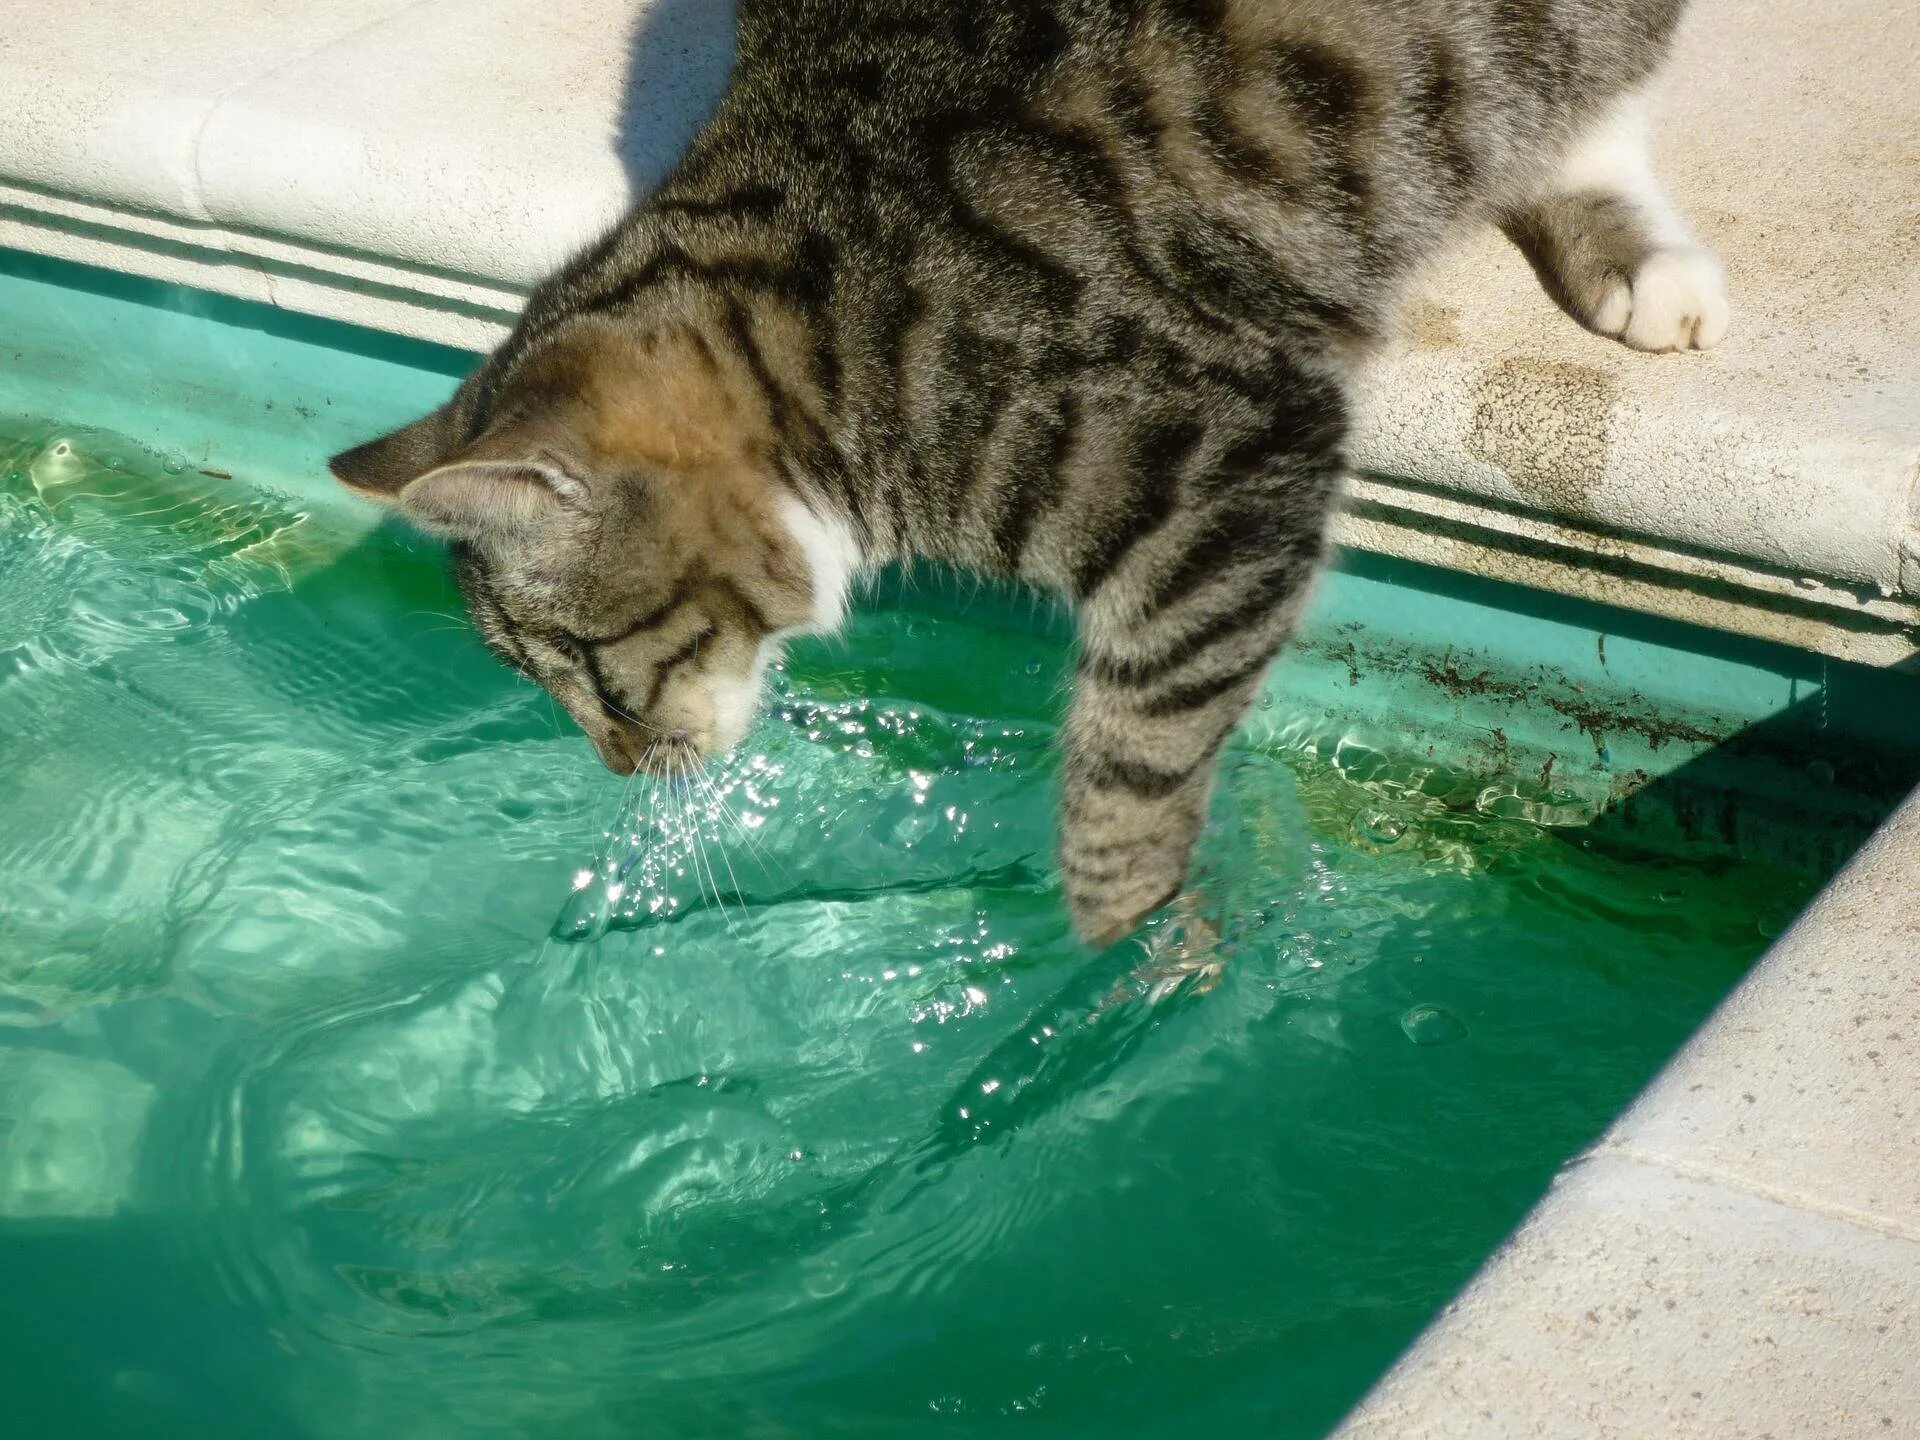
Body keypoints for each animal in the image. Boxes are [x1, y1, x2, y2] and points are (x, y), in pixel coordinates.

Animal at [330, 0, 1728, 948]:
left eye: (588, 671)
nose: (621, 773)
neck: (823, 335)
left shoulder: (1233, 458)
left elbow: (1138, 756)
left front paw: (1132, 948)